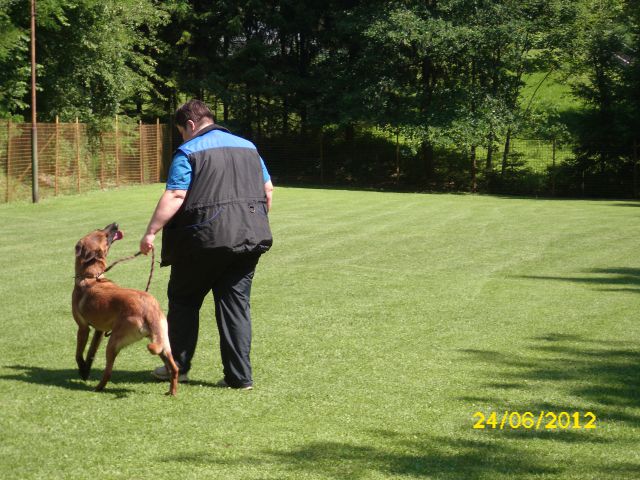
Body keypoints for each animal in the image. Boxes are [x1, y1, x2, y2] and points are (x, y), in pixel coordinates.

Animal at [71, 223, 179, 396]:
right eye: (102, 232)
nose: (115, 224)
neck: (92, 276)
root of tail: (149, 310)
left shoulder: (83, 328)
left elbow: (79, 353)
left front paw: (82, 370)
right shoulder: (99, 331)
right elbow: (91, 353)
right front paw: (86, 369)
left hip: (113, 342)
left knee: (108, 372)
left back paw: (98, 388)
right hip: (163, 342)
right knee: (174, 368)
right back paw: (172, 392)